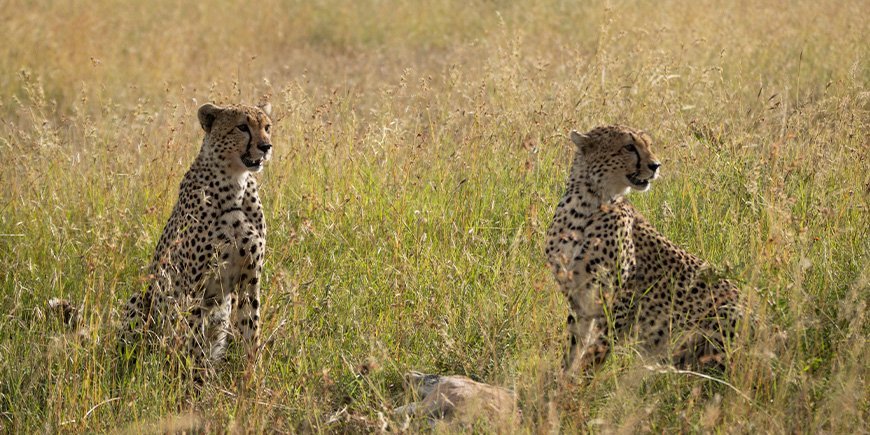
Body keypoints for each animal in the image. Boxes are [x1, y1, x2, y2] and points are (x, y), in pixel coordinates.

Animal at [122, 103, 272, 382]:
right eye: (242, 127)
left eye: (267, 127)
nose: (266, 146)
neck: (235, 183)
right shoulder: (194, 284)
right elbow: (192, 339)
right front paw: (192, 384)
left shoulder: (250, 278)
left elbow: (251, 329)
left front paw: (251, 379)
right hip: (143, 297)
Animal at [544, 125, 744, 374]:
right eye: (629, 146)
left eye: (647, 144)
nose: (656, 165)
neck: (587, 204)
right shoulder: (579, 298)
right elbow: (573, 348)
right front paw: (563, 379)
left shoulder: (620, 299)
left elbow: (596, 352)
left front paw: (581, 382)